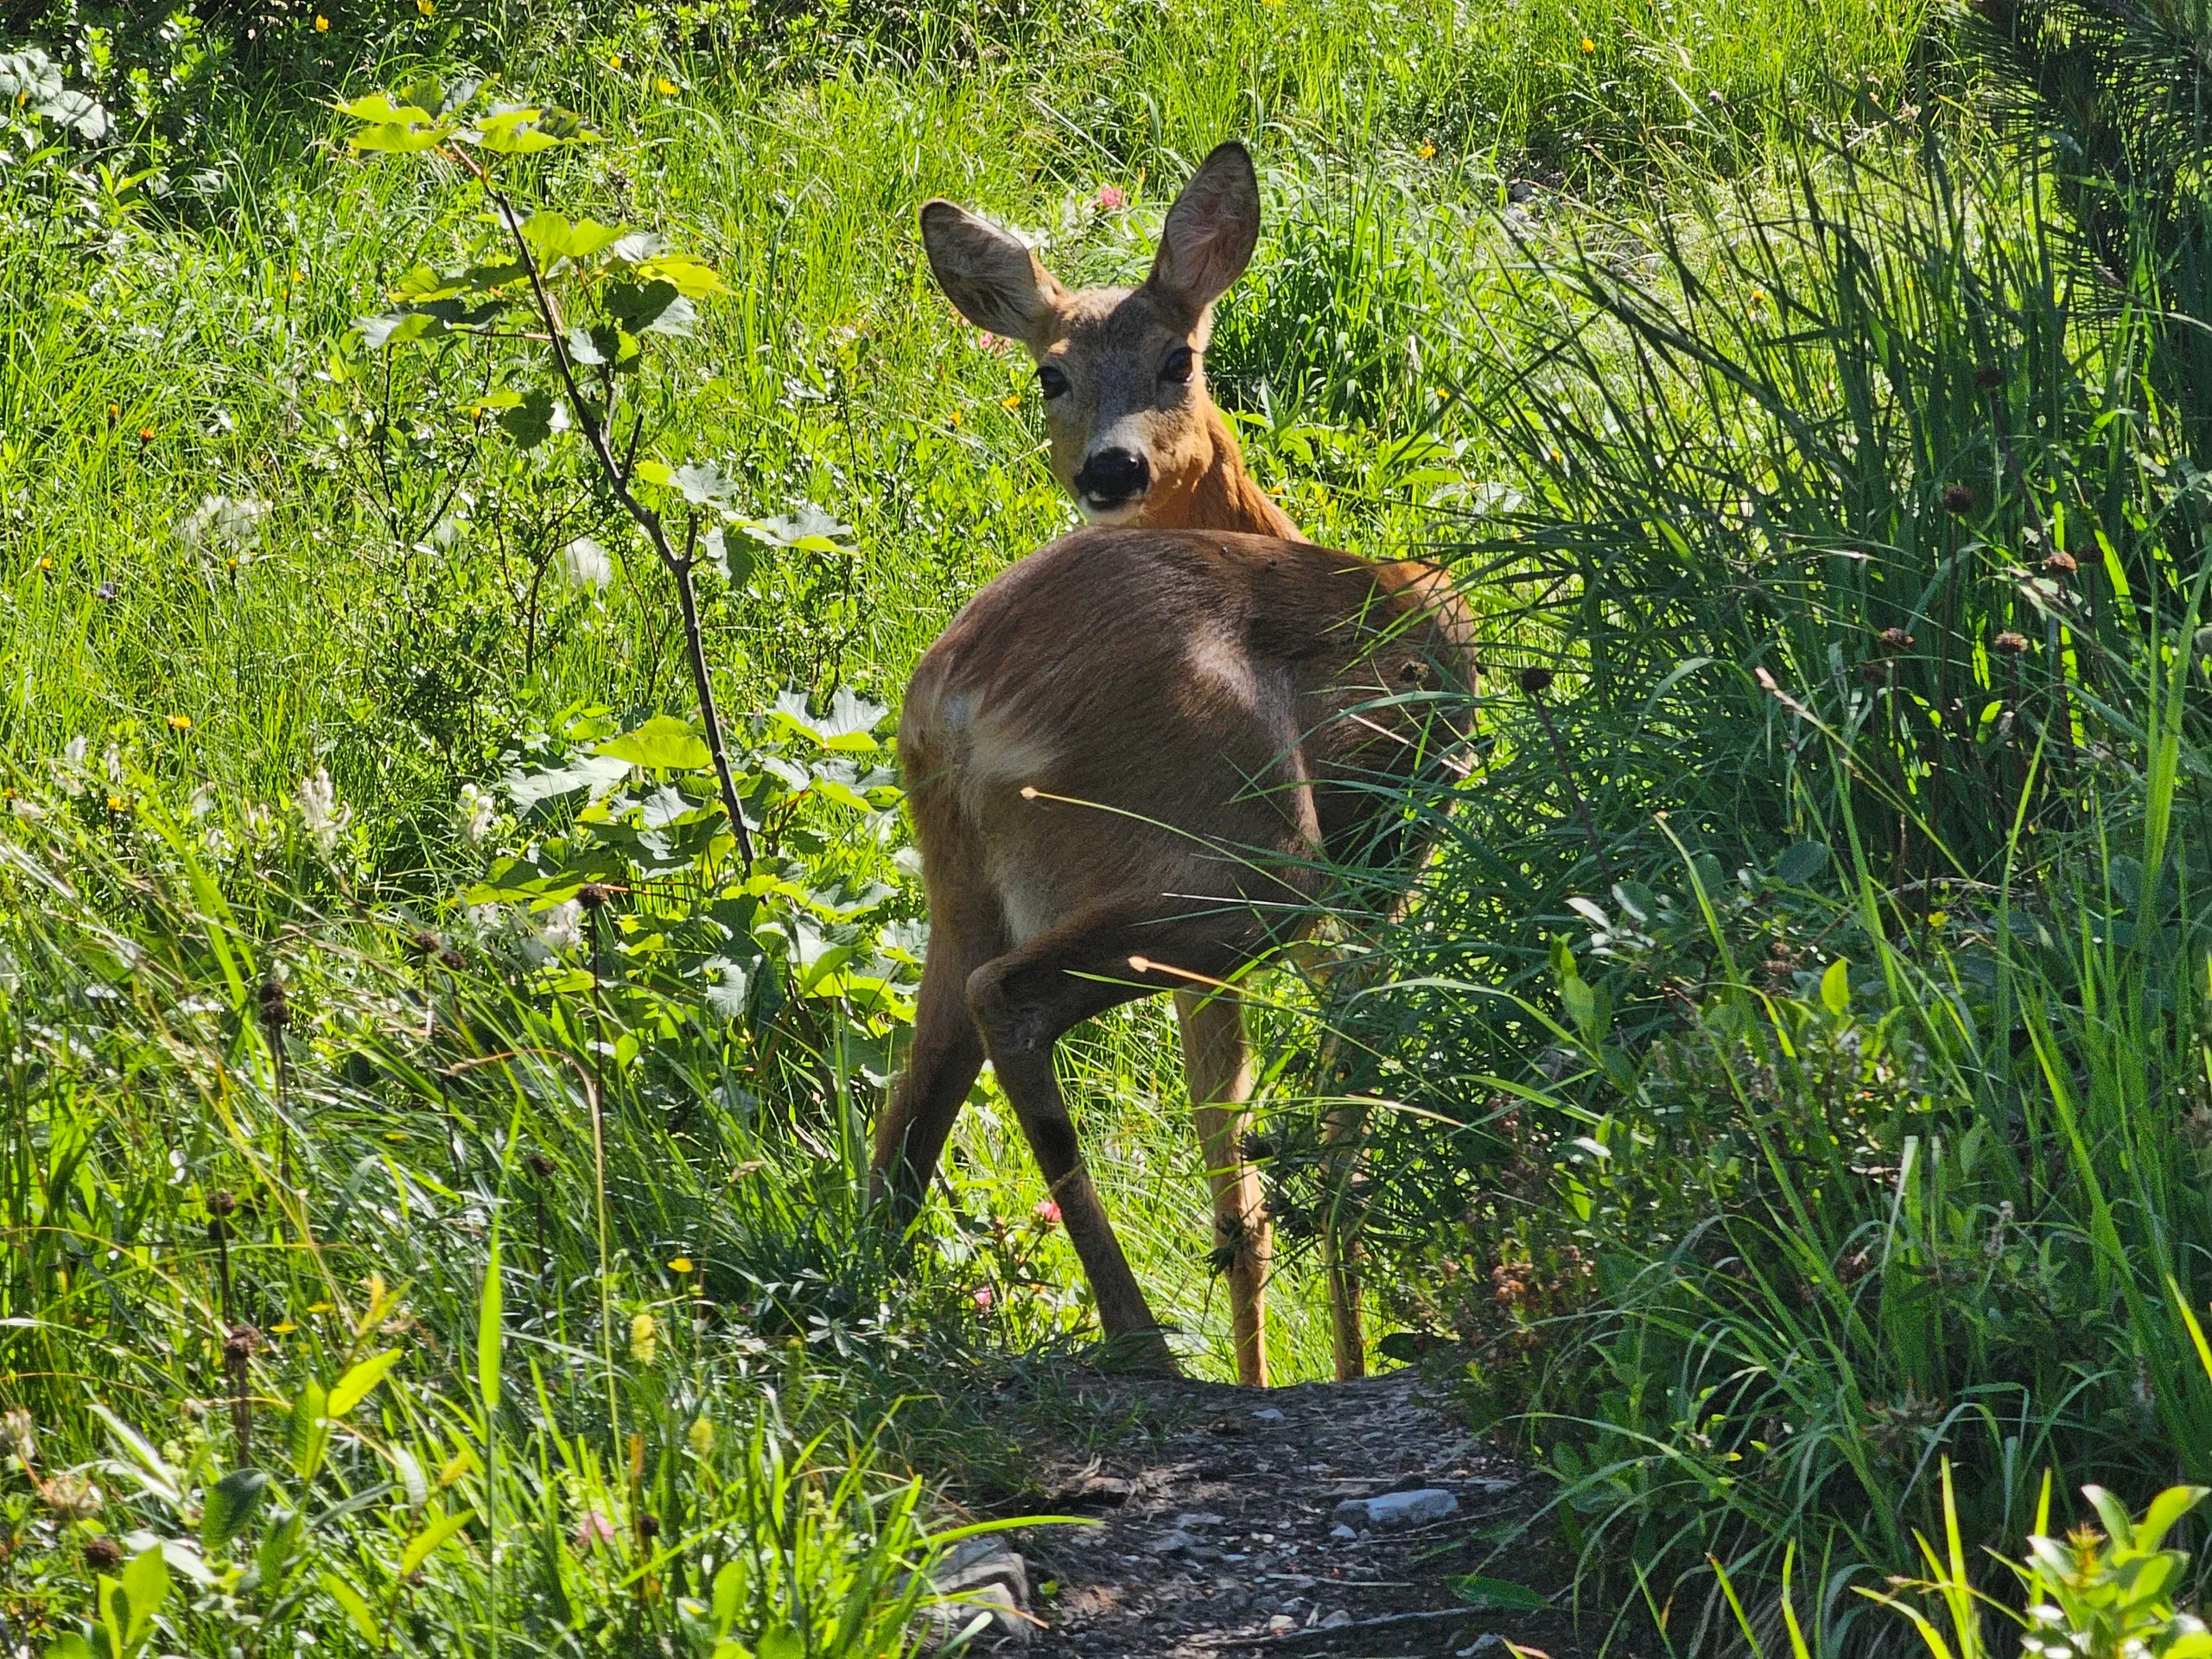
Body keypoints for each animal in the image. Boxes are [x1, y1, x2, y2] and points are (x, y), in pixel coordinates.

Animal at [870, 142, 1474, 1386]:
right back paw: (1140, 1338)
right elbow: (1338, 1120)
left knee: (911, 1115)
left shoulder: (1222, 974)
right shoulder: (1381, 867)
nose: (1109, 470)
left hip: (971, 885)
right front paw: (1350, 1363)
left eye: (1176, 357)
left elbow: (1235, 1189)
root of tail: (958, 704)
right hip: (1244, 853)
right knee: (1011, 1005)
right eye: (1050, 375)